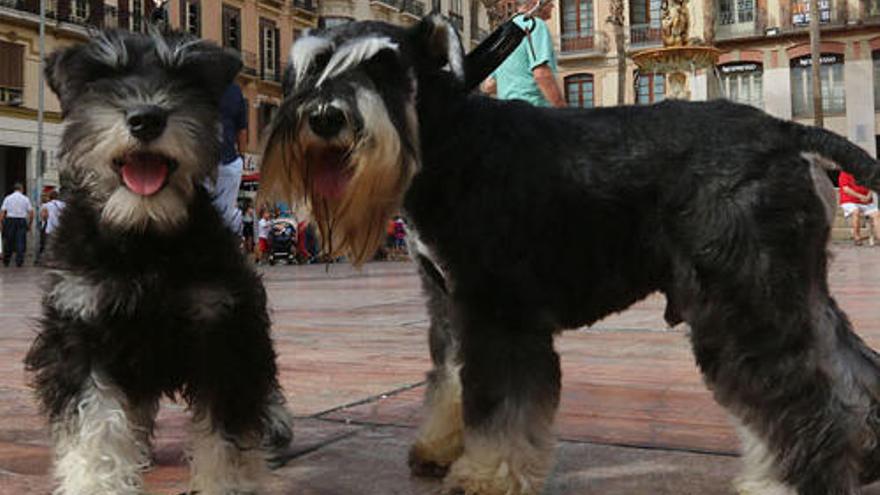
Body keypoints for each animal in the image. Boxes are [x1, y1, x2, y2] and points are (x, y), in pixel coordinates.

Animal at [25, 31, 294, 495]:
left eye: (185, 75)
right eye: (102, 74)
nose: (146, 119)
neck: (143, 237)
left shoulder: (221, 332)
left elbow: (225, 433)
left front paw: (228, 481)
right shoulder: (81, 332)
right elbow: (96, 424)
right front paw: (99, 481)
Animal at [260, 13, 880, 495]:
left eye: (386, 67)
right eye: (313, 66)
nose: (325, 118)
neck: (453, 139)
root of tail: (783, 131)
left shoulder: (498, 308)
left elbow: (500, 404)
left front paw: (486, 474)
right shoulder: (449, 304)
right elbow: (452, 378)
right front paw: (440, 448)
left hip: (745, 298)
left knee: (800, 397)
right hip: (795, 288)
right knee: (848, 369)